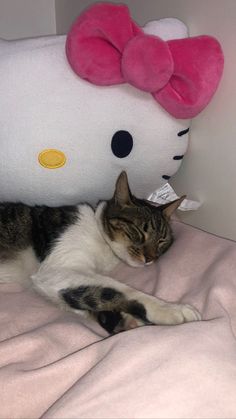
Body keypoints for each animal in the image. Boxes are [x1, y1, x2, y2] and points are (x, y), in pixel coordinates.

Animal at [0, 172, 201, 334]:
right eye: (139, 231)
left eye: (161, 241)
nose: (150, 259)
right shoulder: (57, 270)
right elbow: (118, 290)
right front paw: (170, 309)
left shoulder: (55, 285)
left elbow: (87, 298)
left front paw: (122, 320)